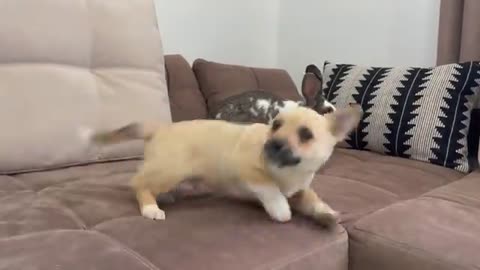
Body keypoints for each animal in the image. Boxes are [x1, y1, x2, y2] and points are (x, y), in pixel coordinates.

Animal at [92, 104, 362, 227]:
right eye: (275, 125)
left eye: (306, 135)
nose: (273, 144)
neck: (288, 172)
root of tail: (160, 128)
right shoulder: (250, 172)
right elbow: (271, 190)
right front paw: (281, 210)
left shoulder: (301, 189)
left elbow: (313, 200)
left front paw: (326, 213)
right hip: (171, 170)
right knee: (138, 184)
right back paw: (150, 207)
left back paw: (166, 197)